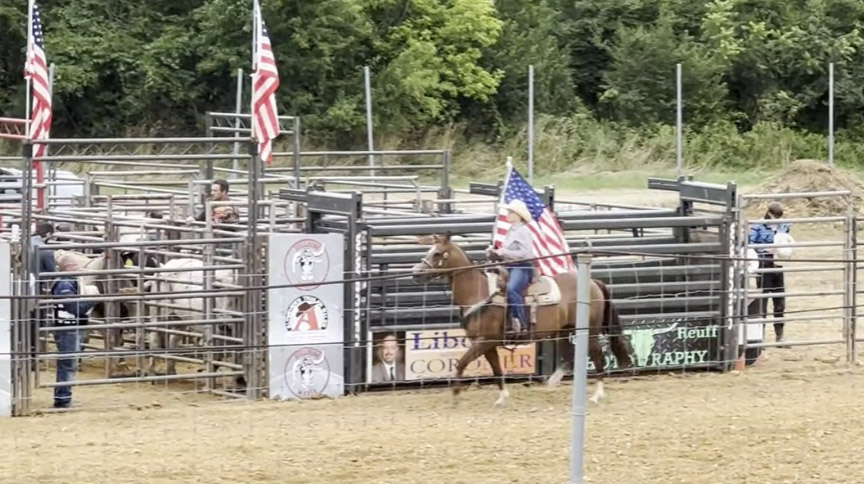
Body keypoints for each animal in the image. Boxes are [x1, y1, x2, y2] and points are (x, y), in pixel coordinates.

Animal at [408, 233, 632, 406]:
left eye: (437, 253)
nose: (415, 273)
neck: (479, 294)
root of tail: (594, 282)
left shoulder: (484, 342)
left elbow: (461, 363)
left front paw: (455, 394)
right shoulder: (487, 344)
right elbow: (497, 369)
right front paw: (502, 398)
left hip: (589, 330)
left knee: (597, 356)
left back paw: (596, 395)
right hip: (564, 330)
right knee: (569, 355)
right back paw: (552, 382)